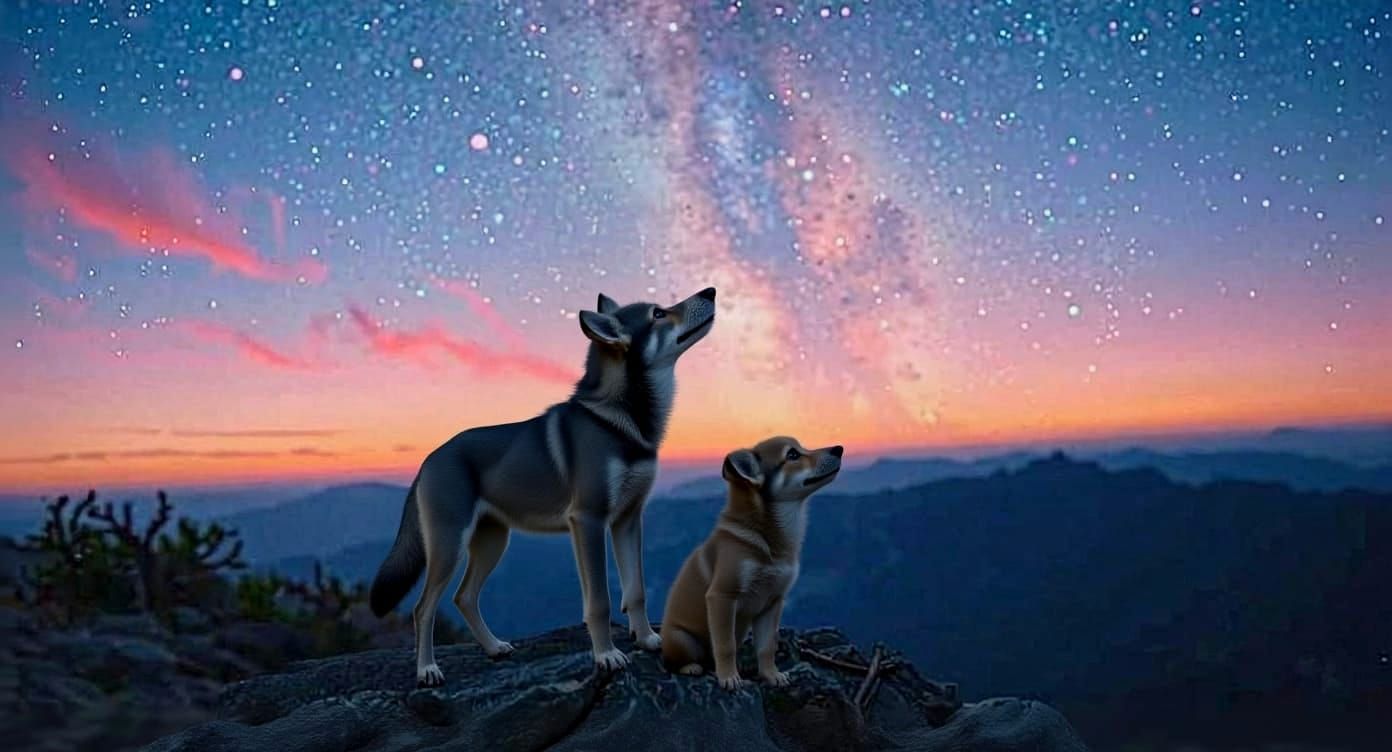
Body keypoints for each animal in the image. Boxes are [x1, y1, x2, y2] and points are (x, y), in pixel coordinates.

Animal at [369, 287, 717, 686]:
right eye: (658, 313)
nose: (711, 291)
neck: (622, 424)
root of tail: (427, 461)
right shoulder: (589, 521)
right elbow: (600, 602)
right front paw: (606, 656)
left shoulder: (627, 520)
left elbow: (636, 590)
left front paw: (645, 639)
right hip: (448, 547)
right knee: (423, 607)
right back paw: (427, 669)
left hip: (492, 542)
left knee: (464, 598)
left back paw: (494, 648)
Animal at [660, 436, 842, 689]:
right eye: (793, 455)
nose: (839, 449)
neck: (768, 539)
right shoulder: (722, 596)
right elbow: (725, 646)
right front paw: (729, 678)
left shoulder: (772, 602)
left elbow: (767, 647)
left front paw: (771, 675)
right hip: (682, 639)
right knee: (675, 660)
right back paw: (692, 667)